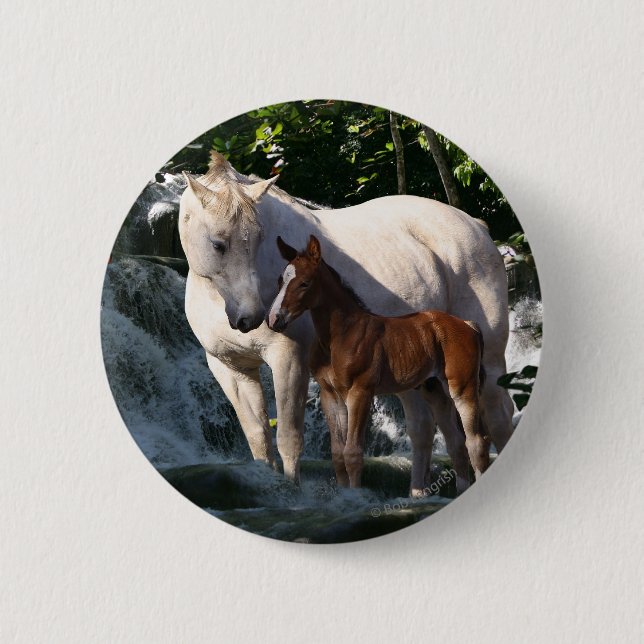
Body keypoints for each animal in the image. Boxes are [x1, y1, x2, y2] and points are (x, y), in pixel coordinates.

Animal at [267, 235, 491, 491]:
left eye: (304, 283)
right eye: (280, 280)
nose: (274, 319)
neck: (340, 336)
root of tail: (467, 325)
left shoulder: (361, 392)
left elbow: (353, 453)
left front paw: (356, 495)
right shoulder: (330, 395)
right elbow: (338, 455)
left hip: (462, 388)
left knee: (476, 442)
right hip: (435, 390)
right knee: (456, 444)